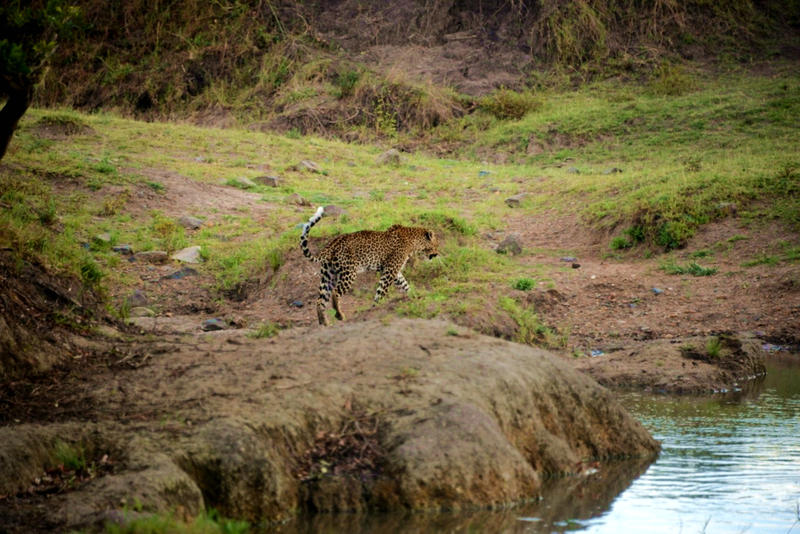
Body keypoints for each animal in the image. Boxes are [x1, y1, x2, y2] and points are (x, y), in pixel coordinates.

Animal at [300, 207, 440, 326]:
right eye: (437, 244)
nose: (438, 253)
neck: (414, 242)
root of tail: (331, 245)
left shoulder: (395, 272)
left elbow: (405, 285)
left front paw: (413, 296)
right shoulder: (390, 271)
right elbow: (381, 292)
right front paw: (375, 308)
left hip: (328, 275)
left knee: (320, 300)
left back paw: (324, 323)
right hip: (349, 274)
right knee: (335, 293)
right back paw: (339, 315)